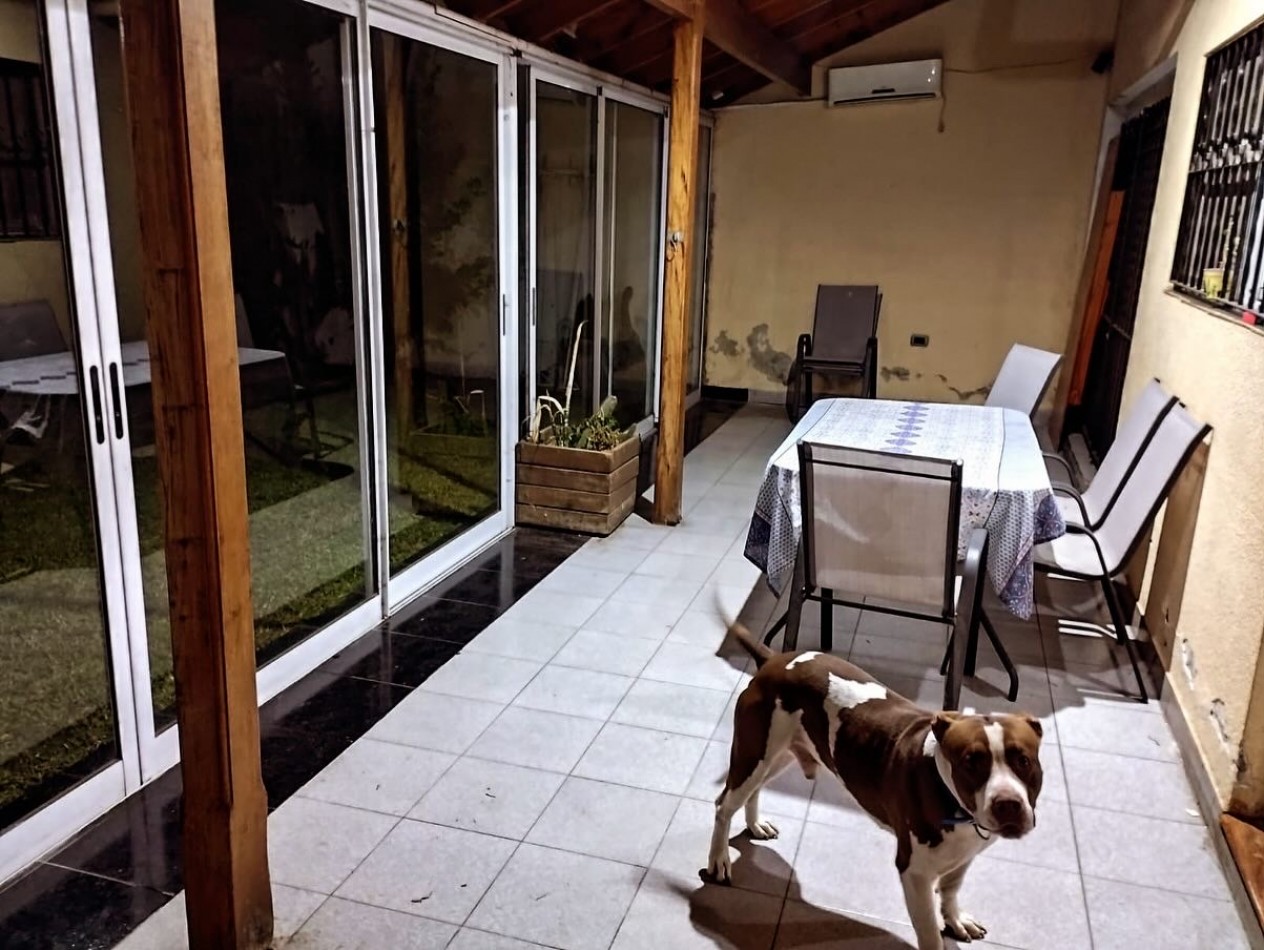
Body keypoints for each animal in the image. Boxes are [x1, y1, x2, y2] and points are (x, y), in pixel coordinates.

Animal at [709, 621, 1044, 950]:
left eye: (1023, 760)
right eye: (970, 763)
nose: (1008, 803)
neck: (953, 800)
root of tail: (773, 660)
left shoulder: (966, 854)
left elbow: (951, 889)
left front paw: (955, 919)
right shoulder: (915, 873)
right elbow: (930, 935)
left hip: (780, 754)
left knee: (753, 789)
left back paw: (755, 825)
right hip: (754, 752)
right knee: (724, 804)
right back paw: (718, 860)